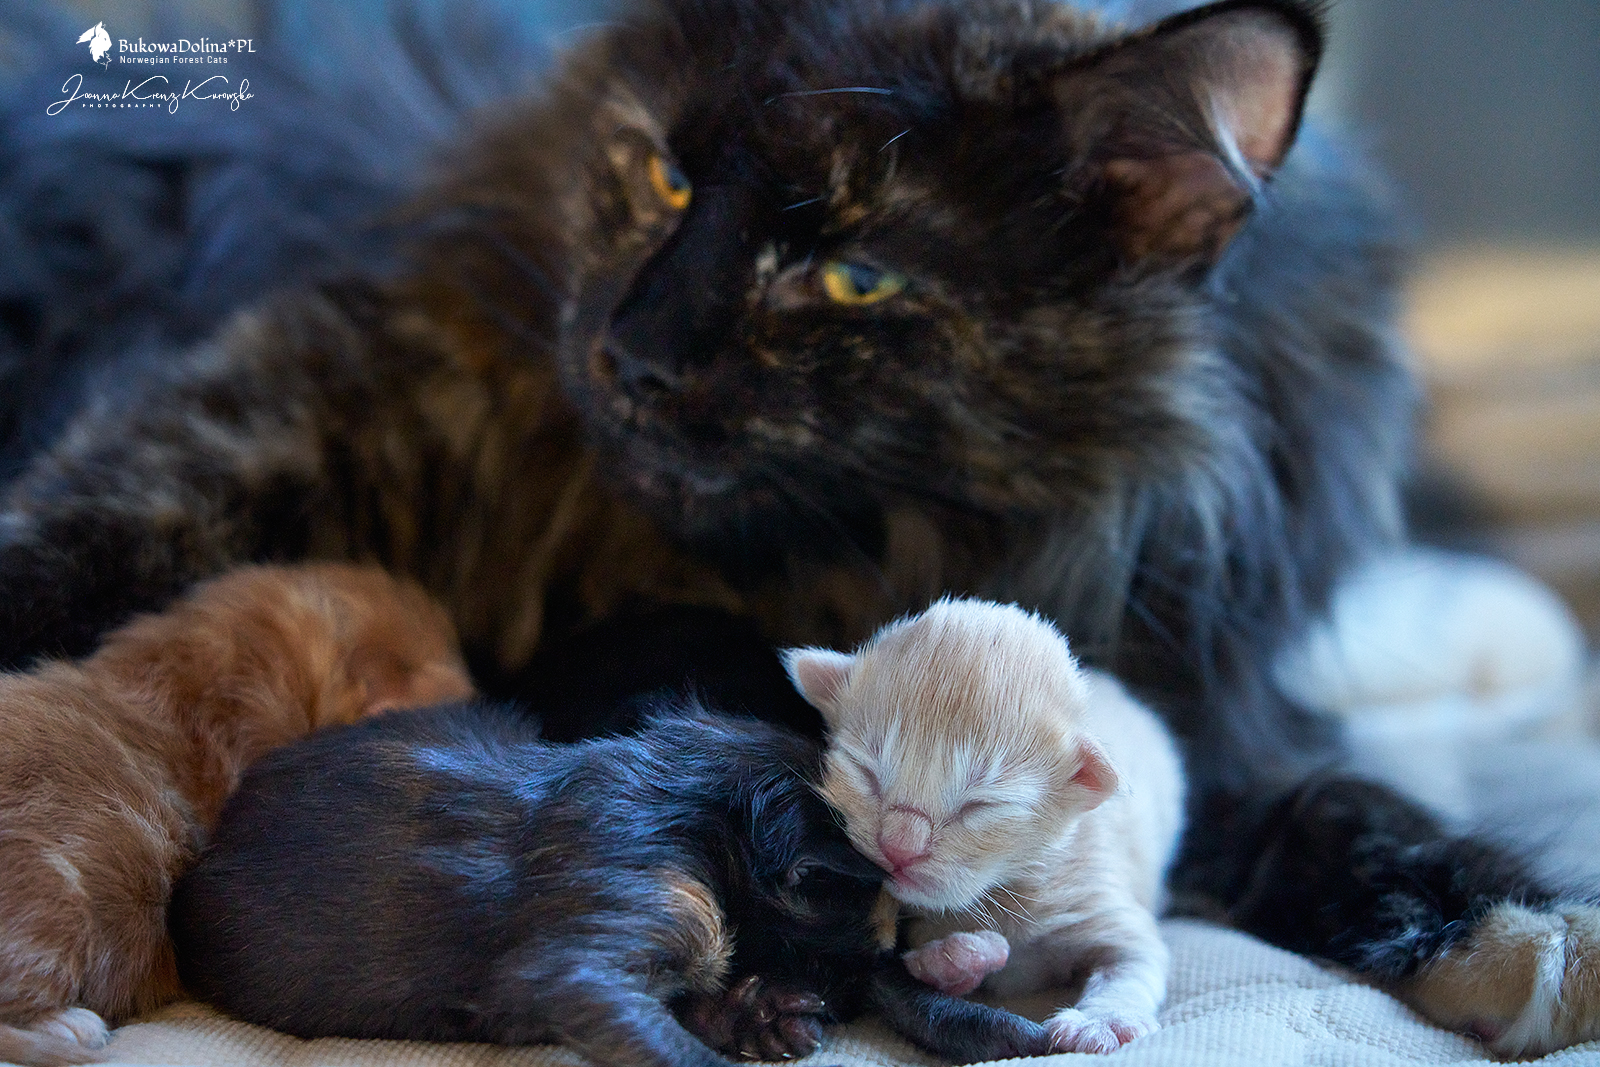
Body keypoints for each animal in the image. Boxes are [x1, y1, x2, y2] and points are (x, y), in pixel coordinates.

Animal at [784, 598, 1184, 1053]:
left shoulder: (1099, 897)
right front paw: (952, 959)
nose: (898, 848)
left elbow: (1132, 964)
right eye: (866, 774)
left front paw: (1104, 1021)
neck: (1000, 889)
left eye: (979, 805)